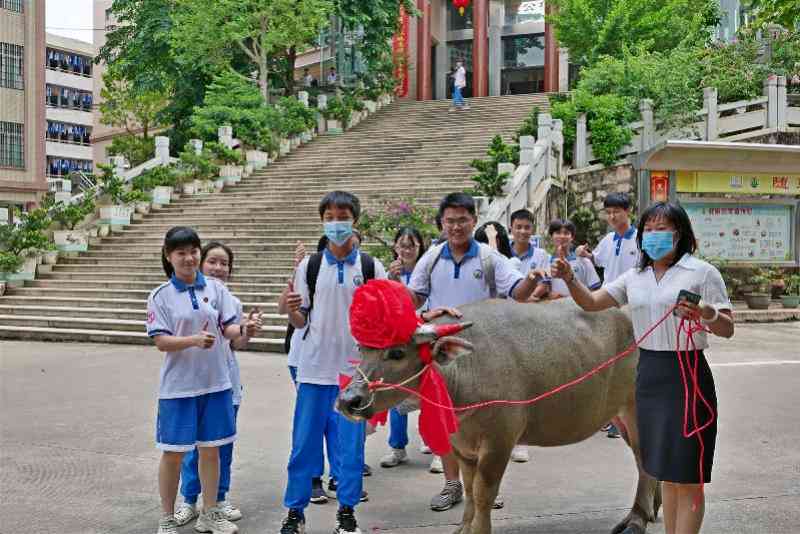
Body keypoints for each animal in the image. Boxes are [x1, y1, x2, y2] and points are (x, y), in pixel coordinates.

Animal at [340, 300, 660, 534]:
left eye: (397, 353)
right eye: (361, 348)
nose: (348, 401)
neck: (463, 372)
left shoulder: (499, 442)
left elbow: (484, 493)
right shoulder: (462, 446)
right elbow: (469, 490)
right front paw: (463, 529)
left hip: (638, 408)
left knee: (644, 459)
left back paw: (636, 520)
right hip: (618, 413)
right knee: (642, 460)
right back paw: (652, 510)